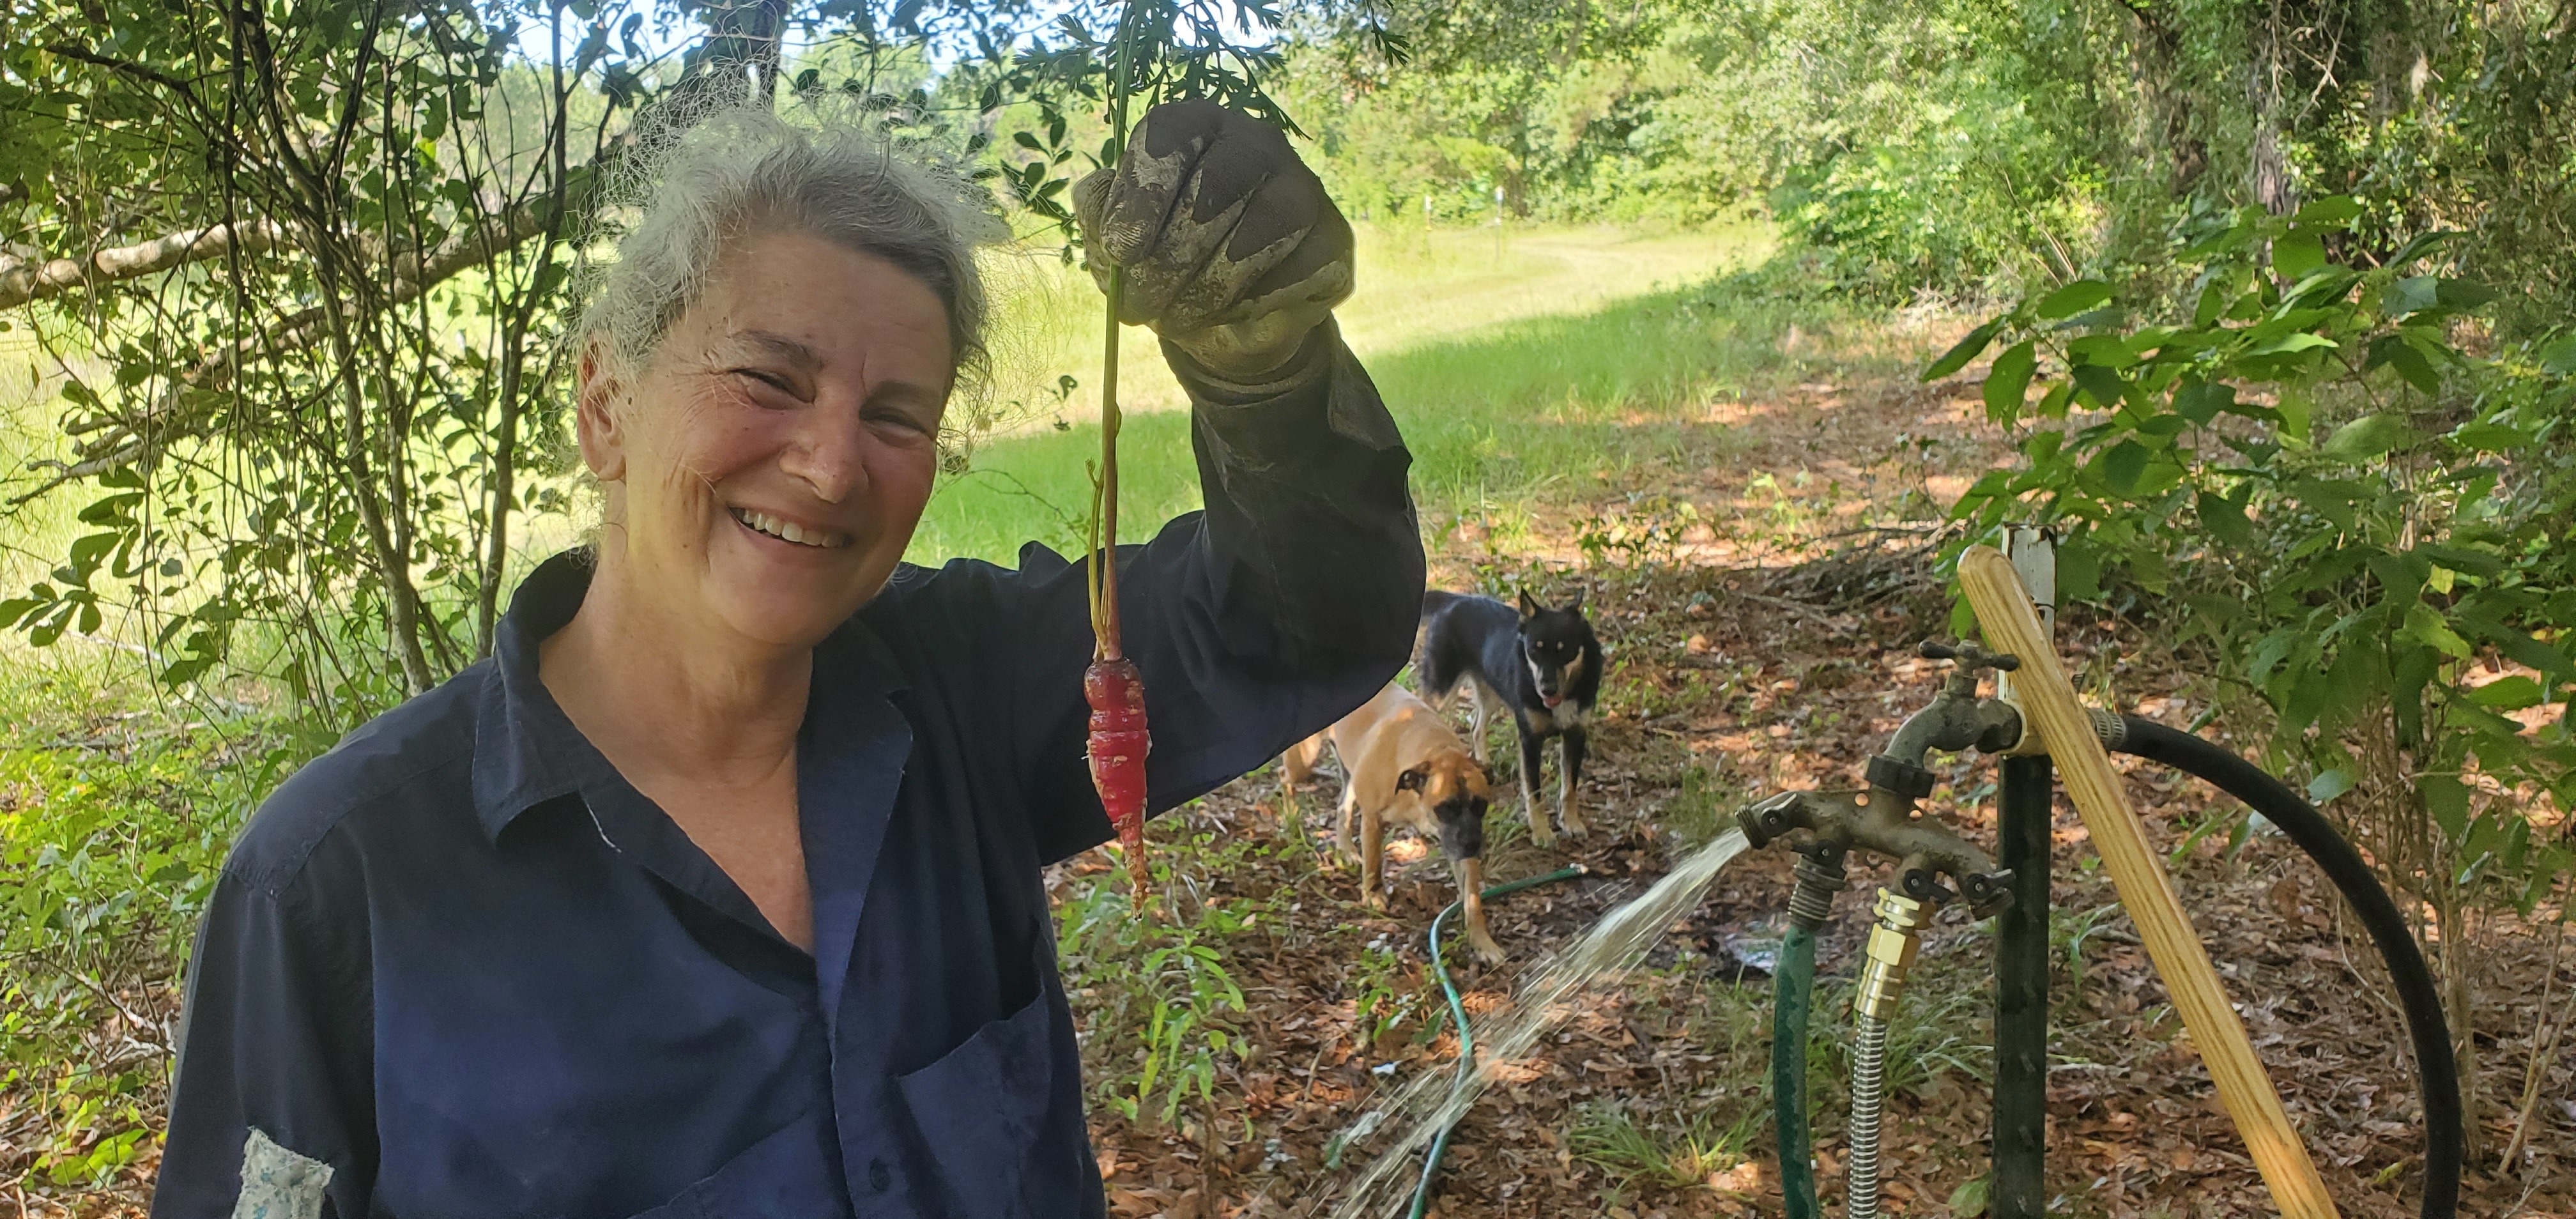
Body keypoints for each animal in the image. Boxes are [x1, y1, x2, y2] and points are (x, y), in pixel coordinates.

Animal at [1288, 685, 1504, 958]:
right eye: (1445, 808)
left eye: (1481, 805)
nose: (1472, 845)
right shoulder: (1372, 819)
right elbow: (1373, 863)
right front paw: (1373, 896)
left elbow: (1472, 897)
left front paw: (1482, 940)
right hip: (1303, 760)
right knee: (1284, 776)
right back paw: (1289, 815)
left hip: (1349, 775)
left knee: (1342, 807)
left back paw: (1346, 849)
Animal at [1422, 590, 1597, 845]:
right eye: (1534, 649)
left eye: (1565, 650)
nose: (1547, 690)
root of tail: (1455, 599)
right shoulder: (1530, 741)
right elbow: (1534, 793)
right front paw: (1542, 833)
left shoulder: (1576, 736)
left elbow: (1569, 788)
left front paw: (1571, 823)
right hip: (1440, 693)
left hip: (1492, 693)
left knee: (1476, 728)